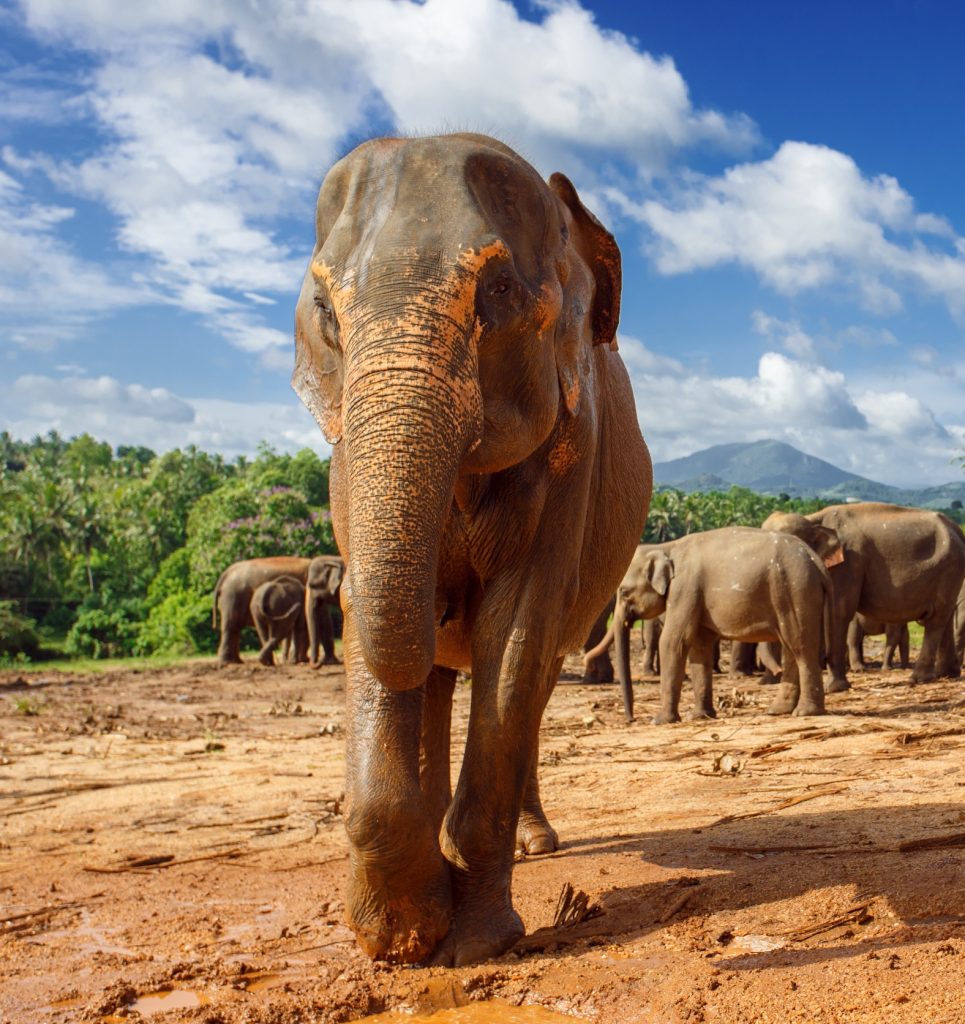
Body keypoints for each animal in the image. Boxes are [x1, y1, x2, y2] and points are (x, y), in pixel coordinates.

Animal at [291, 133, 652, 966]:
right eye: (325, 311)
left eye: (499, 292)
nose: (338, 584)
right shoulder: (345, 466)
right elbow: (391, 639)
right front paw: (401, 937)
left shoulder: (572, 455)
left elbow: (513, 631)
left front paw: (473, 944)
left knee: (532, 680)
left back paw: (532, 844)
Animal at [608, 528, 831, 724]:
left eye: (624, 592)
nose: (631, 719)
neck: (666, 547)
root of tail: (817, 563)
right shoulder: (695, 597)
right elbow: (699, 648)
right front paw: (699, 716)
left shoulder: (684, 589)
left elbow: (673, 642)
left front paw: (660, 721)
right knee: (791, 648)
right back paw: (778, 710)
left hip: (795, 590)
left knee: (801, 648)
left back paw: (805, 712)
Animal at [762, 504, 965, 692]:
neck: (813, 518)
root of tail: (957, 529)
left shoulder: (850, 562)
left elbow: (839, 611)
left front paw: (834, 688)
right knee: (946, 617)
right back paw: (947, 673)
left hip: (948, 567)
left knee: (935, 619)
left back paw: (919, 678)